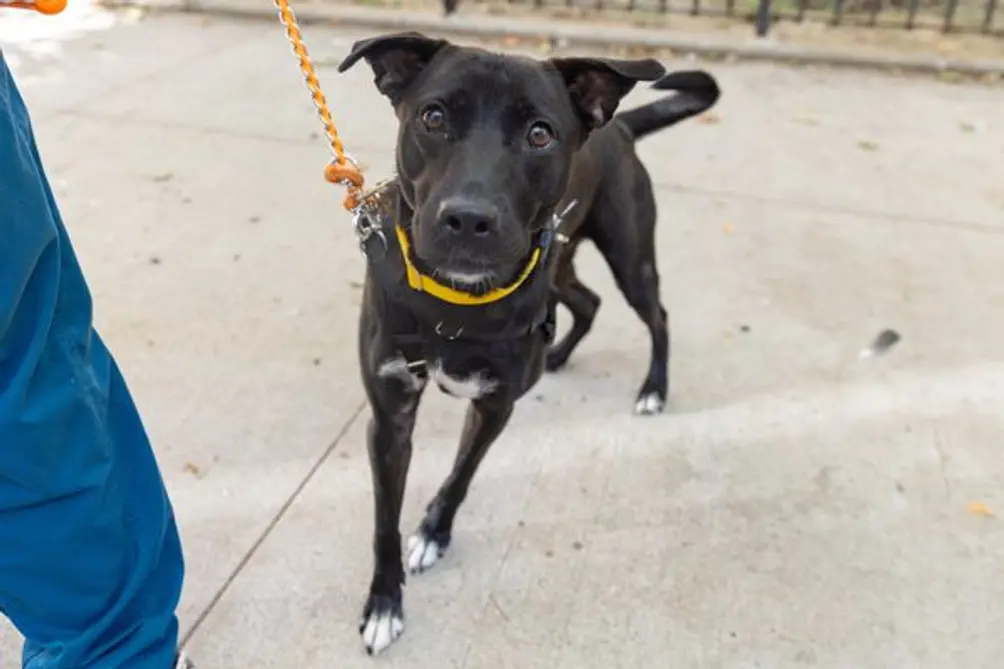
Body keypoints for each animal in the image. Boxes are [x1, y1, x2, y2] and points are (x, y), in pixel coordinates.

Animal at [337, 31, 722, 650]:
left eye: (540, 133)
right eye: (433, 117)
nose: (469, 220)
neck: (454, 304)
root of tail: (617, 126)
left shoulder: (494, 407)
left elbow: (461, 475)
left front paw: (434, 532)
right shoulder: (391, 414)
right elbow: (383, 522)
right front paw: (384, 603)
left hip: (629, 252)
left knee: (657, 315)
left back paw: (653, 389)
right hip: (560, 263)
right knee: (586, 302)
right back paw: (560, 355)